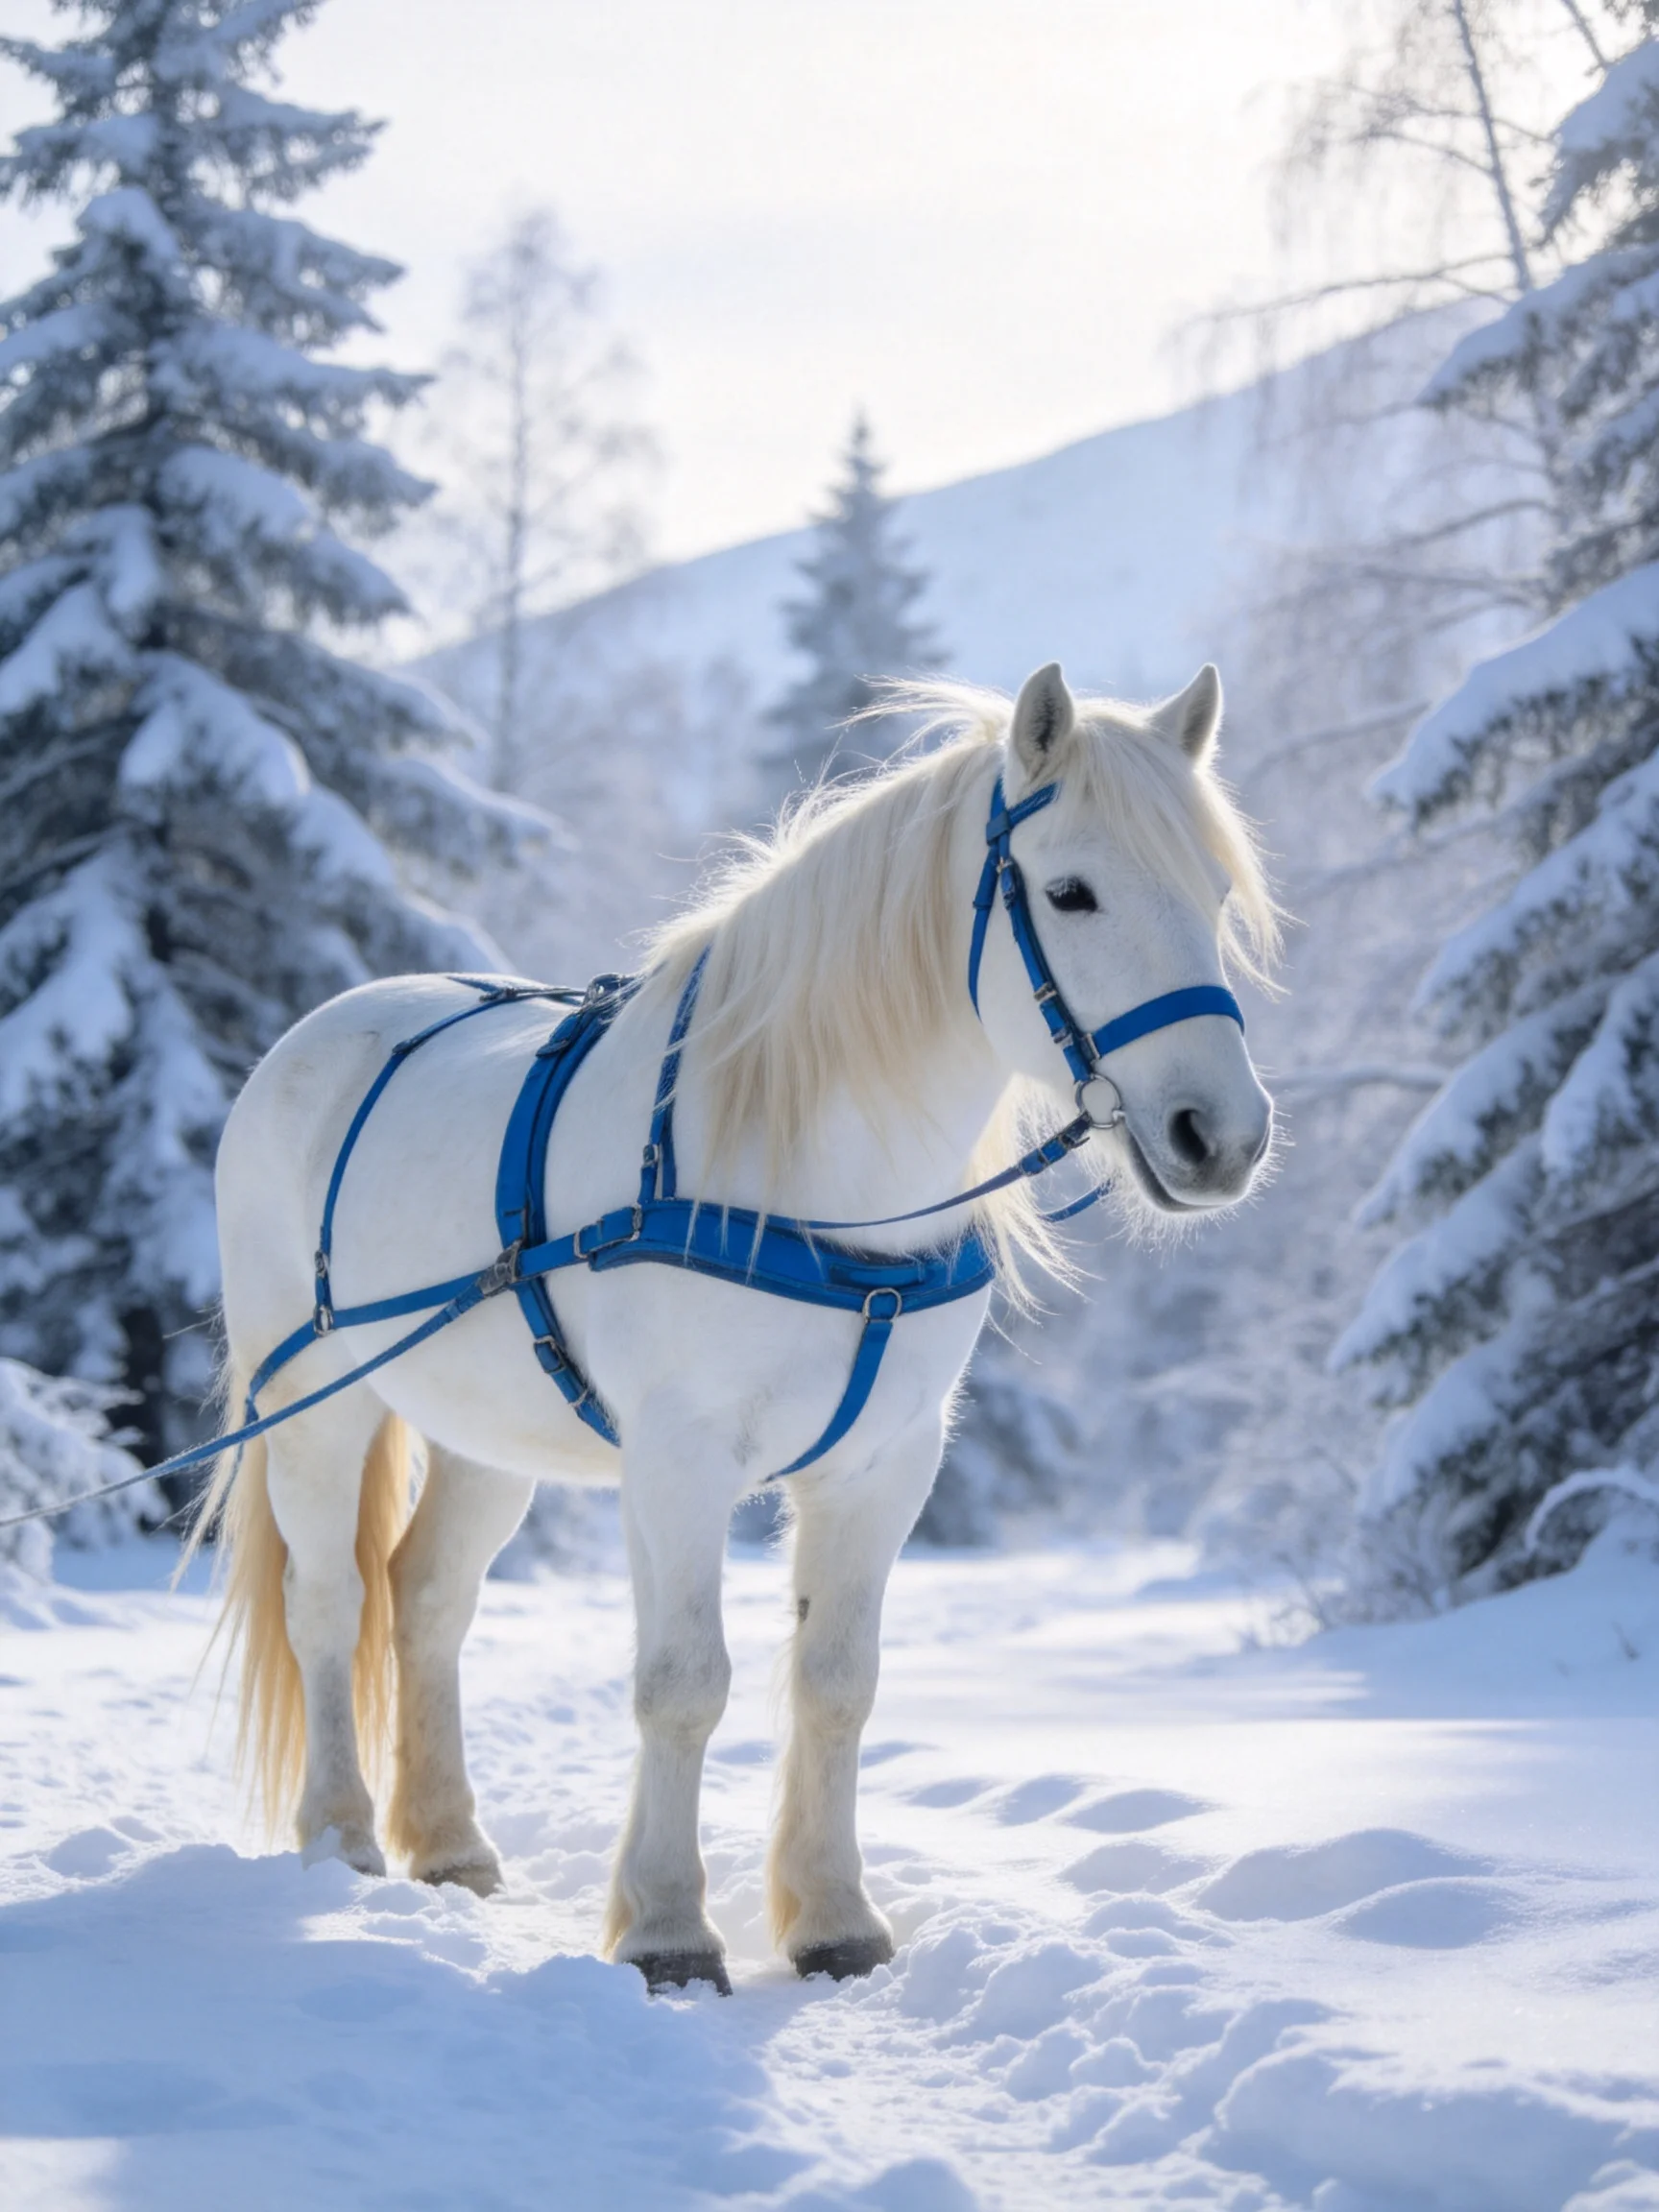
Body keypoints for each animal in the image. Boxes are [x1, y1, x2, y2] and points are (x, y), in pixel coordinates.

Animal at [193, 659, 1278, 1994]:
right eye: (1071, 892)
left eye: (1216, 897)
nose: (1220, 1138)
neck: (818, 1185)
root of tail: (320, 1033)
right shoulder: (678, 1462)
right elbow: (683, 1683)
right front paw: (668, 1930)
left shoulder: (883, 1465)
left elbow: (837, 1684)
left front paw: (834, 1920)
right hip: (318, 1406)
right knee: (331, 1602)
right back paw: (341, 1837)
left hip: (491, 1434)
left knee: (428, 1598)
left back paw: (449, 1846)